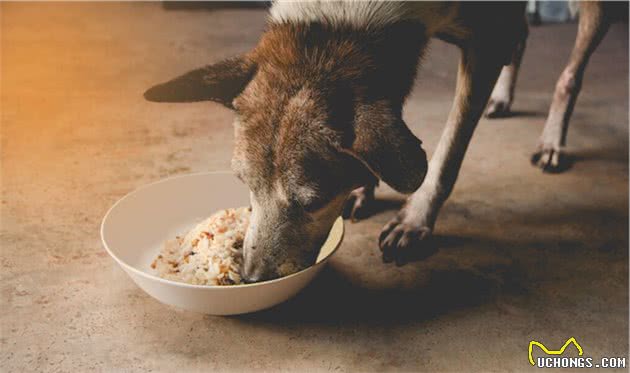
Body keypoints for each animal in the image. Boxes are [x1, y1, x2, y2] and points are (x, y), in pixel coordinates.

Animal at [146, 0, 620, 282]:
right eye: (244, 185)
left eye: (313, 201)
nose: (251, 278)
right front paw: (364, 188)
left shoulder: (483, 41)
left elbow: (447, 153)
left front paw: (415, 220)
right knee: (521, 36)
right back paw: (504, 98)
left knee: (570, 73)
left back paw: (553, 140)